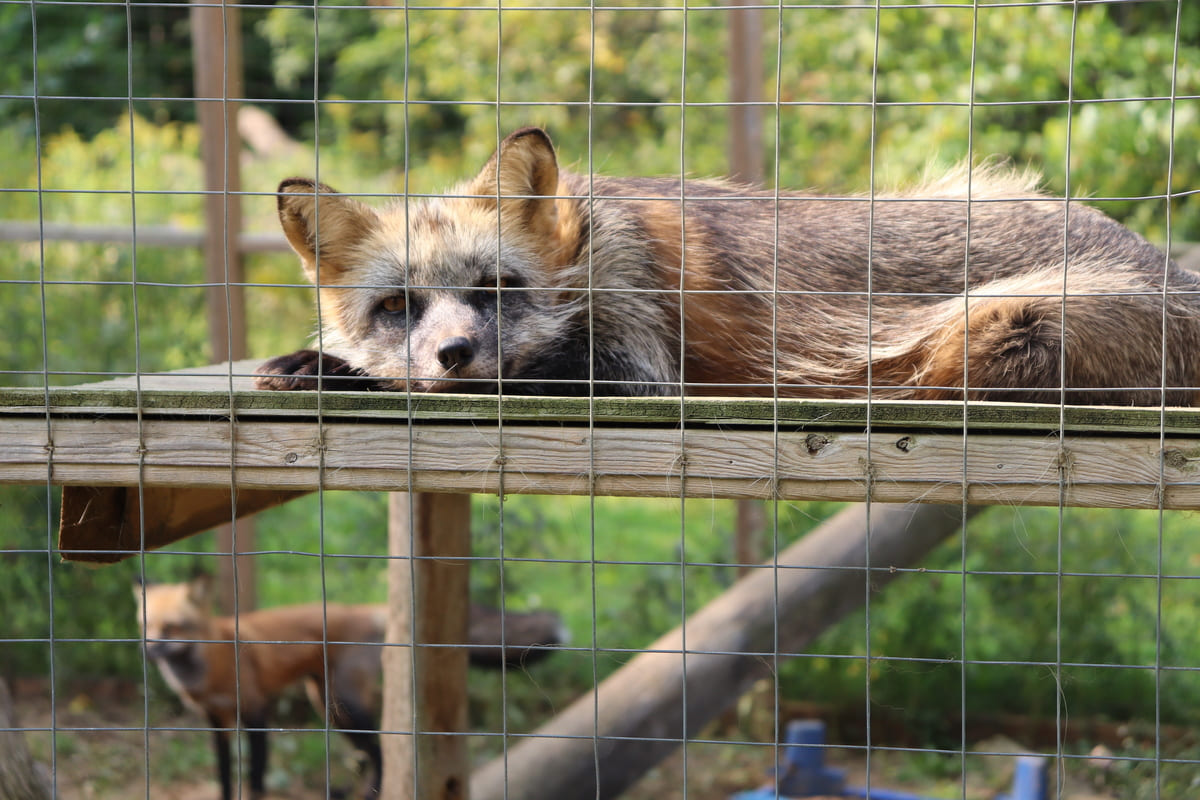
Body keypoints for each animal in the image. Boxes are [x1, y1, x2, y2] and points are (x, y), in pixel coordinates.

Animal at [135, 574, 565, 800]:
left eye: (172, 627)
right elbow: (226, 774)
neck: (208, 662)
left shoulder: (256, 712)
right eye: (147, 625)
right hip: (327, 704)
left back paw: (372, 793)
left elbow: (255, 773)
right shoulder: (217, 721)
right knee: (368, 753)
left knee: (379, 750)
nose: (150, 650)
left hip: (344, 705)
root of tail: (361, 609)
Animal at [255, 126, 1200, 406]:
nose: (454, 356)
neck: (592, 246)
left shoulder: (636, 369)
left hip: (1009, 325)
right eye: (398, 307)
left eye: (497, 291)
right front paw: (319, 361)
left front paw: (340, 373)